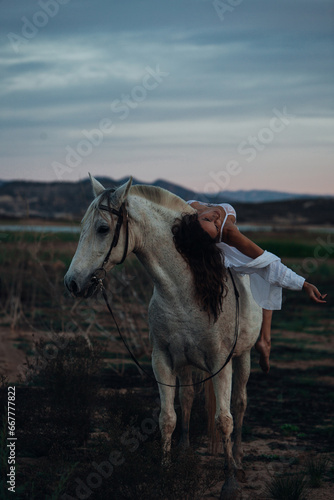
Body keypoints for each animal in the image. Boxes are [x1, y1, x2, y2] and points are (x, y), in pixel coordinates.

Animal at [63, 176, 260, 500]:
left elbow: (224, 419)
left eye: (102, 228)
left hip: (243, 356)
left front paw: (229, 482)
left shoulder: (221, 362)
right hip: (188, 363)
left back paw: (239, 462)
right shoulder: (163, 360)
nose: (72, 283)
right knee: (188, 399)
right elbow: (167, 418)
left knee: (241, 404)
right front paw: (165, 474)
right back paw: (185, 451)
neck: (183, 290)